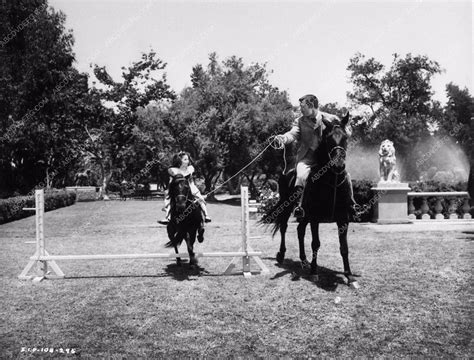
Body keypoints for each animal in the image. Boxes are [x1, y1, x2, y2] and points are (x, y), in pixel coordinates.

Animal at [262, 114, 358, 286]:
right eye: (328, 139)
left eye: (345, 138)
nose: (339, 165)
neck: (332, 180)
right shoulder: (315, 218)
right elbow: (315, 243)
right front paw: (314, 272)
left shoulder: (343, 218)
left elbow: (344, 247)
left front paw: (349, 275)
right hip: (288, 207)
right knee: (284, 227)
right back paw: (281, 254)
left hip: (304, 215)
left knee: (300, 231)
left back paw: (304, 260)